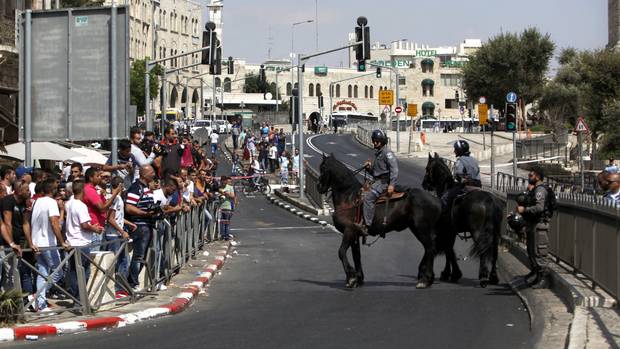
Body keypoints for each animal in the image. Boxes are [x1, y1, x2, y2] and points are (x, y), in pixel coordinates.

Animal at [318, 154, 444, 286]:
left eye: (322, 168)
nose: (318, 186)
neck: (349, 198)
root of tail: (437, 200)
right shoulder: (355, 234)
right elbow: (356, 255)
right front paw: (358, 278)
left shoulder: (349, 231)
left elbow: (341, 252)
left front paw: (351, 277)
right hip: (416, 228)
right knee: (429, 249)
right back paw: (426, 277)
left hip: (422, 229)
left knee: (430, 248)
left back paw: (425, 279)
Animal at [422, 152, 504, 286]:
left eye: (427, 168)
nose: (424, 184)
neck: (447, 187)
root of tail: (490, 200)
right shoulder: (451, 231)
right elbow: (449, 250)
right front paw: (451, 273)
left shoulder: (447, 230)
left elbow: (448, 250)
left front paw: (451, 273)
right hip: (495, 232)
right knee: (494, 251)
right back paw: (493, 277)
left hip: (477, 232)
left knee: (483, 250)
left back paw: (483, 276)